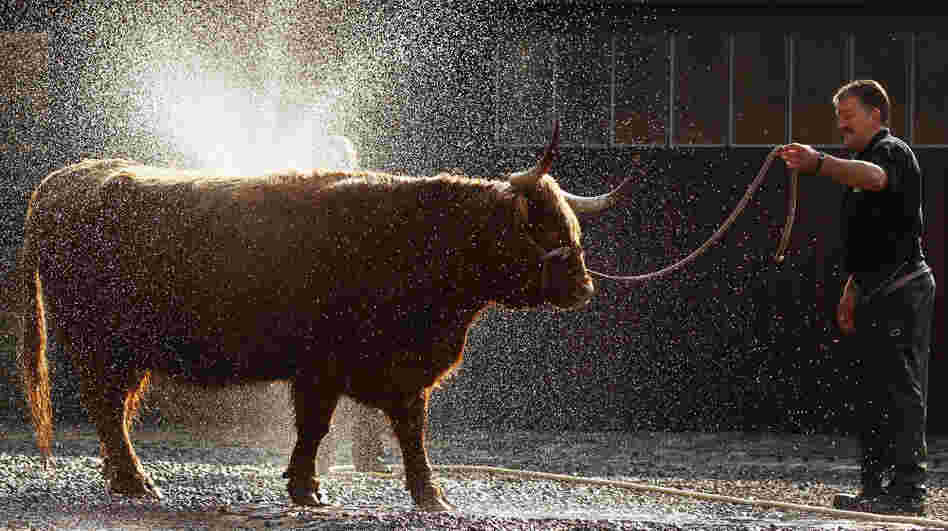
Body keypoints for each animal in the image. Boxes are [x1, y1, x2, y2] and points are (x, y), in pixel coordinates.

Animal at [15, 123, 634, 511]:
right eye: (542, 228)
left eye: (571, 225)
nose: (584, 288)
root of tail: (69, 178)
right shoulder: (323, 367)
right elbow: (315, 427)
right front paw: (306, 487)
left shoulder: (403, 372)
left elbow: (411, 431)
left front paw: (429, 493)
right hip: (103, 345)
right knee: (107, 409)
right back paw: (134, 481)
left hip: (127, 352)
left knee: (114, 411)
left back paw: (123, 478)